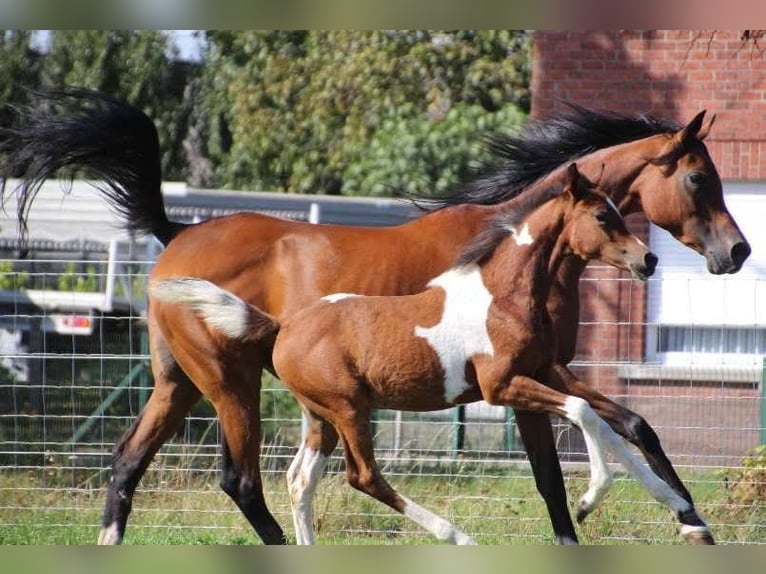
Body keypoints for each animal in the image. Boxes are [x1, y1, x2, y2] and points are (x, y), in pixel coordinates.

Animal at [150, 163, 707, 544]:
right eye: (600, 215)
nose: (648, 259)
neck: (502, 294)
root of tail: (283, 326)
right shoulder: (501, 386)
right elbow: (583, 412)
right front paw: (593, 498)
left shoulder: (546, 370)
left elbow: (602, 418)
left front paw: (680, 509)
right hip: (349, 408)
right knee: (363, 476)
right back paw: (457, 536)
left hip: (321, 415)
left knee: (301, 480)